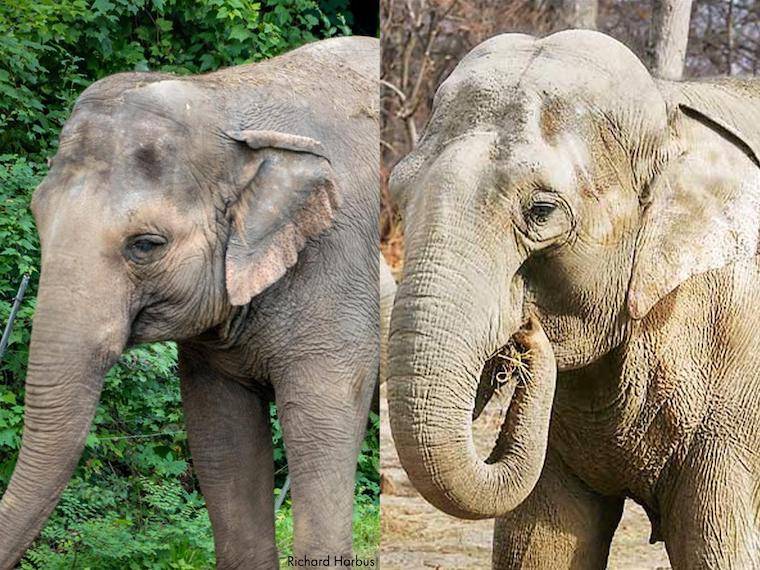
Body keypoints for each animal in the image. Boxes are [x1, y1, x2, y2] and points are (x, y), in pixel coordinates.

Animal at [0, 36, 380, 569]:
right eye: (38, 216)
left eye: (145, 245)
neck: (229, 101)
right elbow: (221, 435)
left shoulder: (340, 274)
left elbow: (320, 430)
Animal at [387, 29, 760, 569]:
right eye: (398, 194)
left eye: (541, 212)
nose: (524, 332)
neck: (669, 107)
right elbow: (540, 542)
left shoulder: (738, 379)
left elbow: (716, 544)